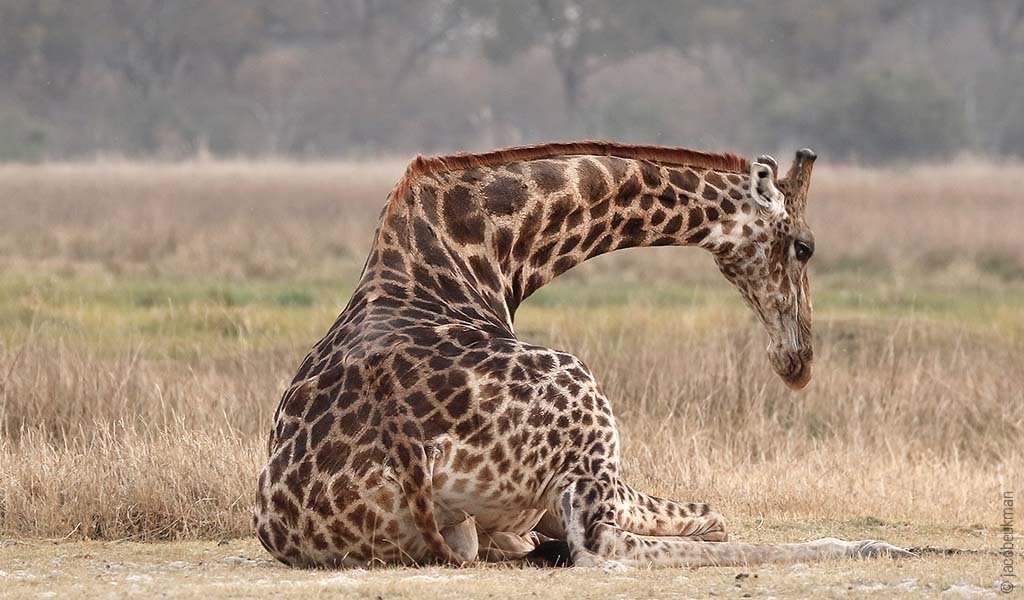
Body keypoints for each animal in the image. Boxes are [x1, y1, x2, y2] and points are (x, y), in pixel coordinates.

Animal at [251, 139, 909, 565]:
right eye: (805, 246)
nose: (798, 363)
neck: (488, 250)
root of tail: (406, 450)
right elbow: (713, 518)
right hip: (586, 400)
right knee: (601, 546)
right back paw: (869, 544)